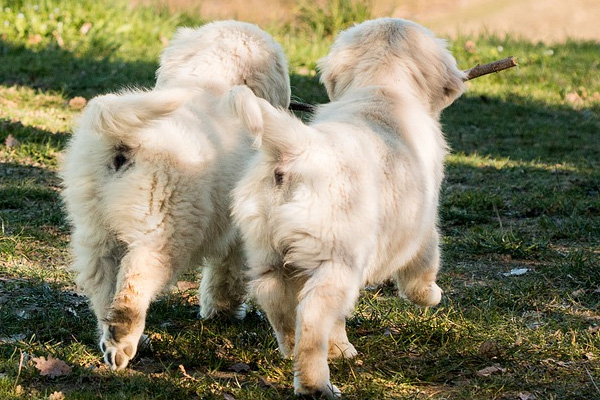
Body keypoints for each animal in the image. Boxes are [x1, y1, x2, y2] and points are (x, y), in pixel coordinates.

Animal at [59, 21, 290, 372]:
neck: (210, 80)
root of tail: (124, 139)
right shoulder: (236, 230)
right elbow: (228, 272)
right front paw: (223, 310)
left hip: (94, 230)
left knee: (103, 287)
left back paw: (117, 338)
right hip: (163, 232)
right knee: (133, 285)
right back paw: (123, 341)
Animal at [227, 18, 466, 396]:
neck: (382, 88)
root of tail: (296, 148)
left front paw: (340, 348)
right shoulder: (422, 224)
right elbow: (424, 267)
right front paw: (431, 295)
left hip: (267, 252)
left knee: (278, 303)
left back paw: (293, 351)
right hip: (338, 259)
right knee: (311, 314)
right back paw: (316, 384)